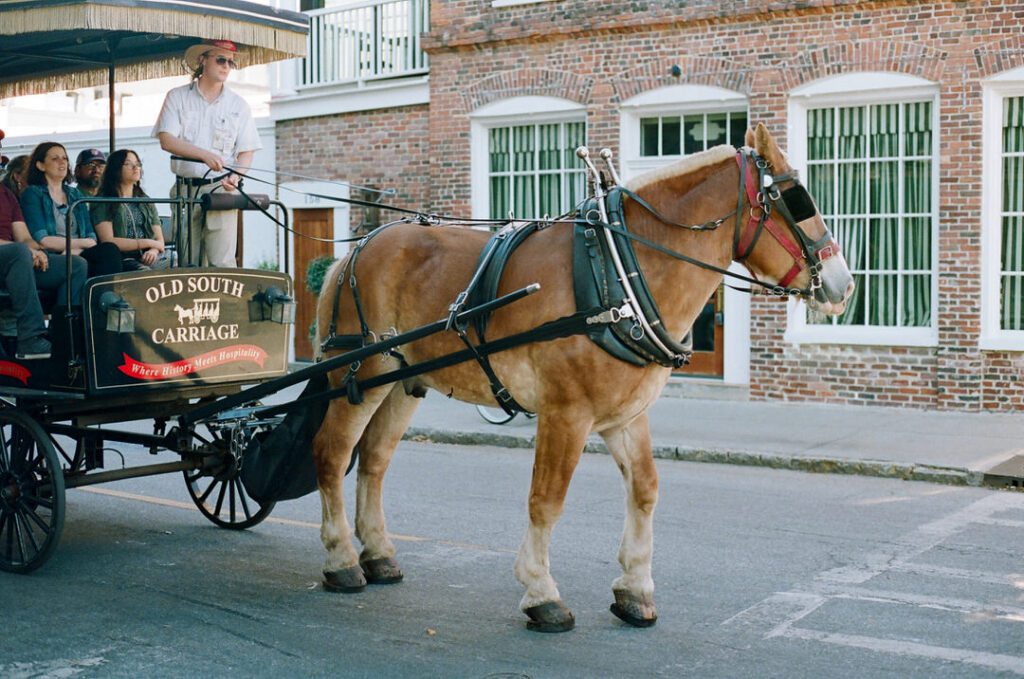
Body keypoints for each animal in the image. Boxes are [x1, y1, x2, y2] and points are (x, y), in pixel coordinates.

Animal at [309, 123, 856, 630]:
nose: (844, 284)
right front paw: (540, 591)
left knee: (374, 460)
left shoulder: (624, 416)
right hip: (361, 373)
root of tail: (355, 250)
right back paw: (340, 560)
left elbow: (645, 488)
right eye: (795, 198)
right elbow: (546, 500)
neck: (619, 275)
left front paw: (634, 588)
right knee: (332, 453)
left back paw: (378, 554)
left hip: (404, 383)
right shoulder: (565, 414)